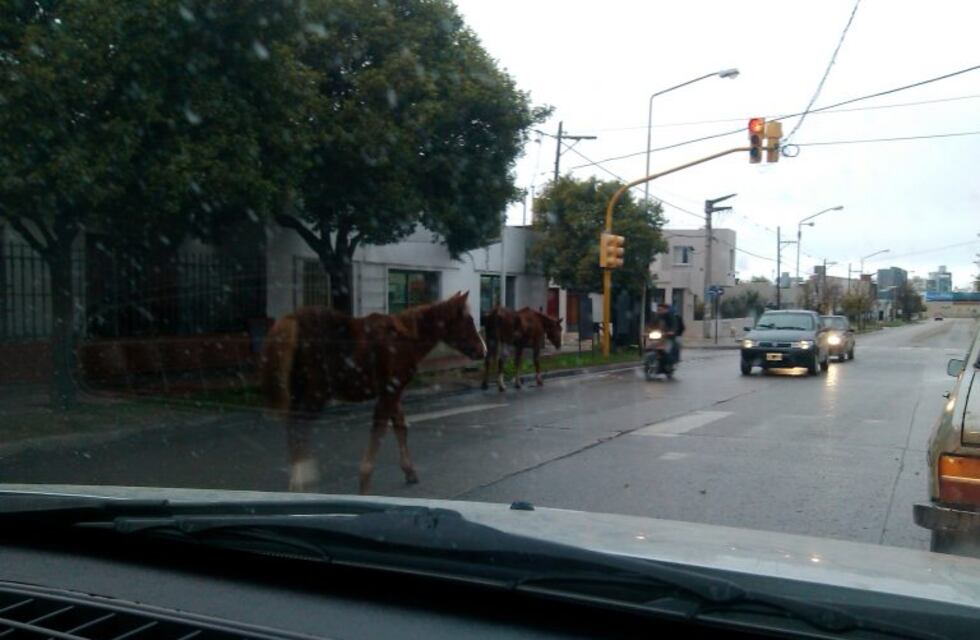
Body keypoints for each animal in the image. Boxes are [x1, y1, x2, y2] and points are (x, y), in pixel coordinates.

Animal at [260, 291, 486, 494]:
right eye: (468, 320)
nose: (482, 350)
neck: (410, 340)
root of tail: (291, 320)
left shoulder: (393, 391)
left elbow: (400, 428)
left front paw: (409, 471)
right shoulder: (390, 391)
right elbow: (380, 431)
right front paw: (365, 482)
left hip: (298, 390)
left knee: (293, 426)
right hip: (317, 392)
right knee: (299, 425)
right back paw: (302, 478)